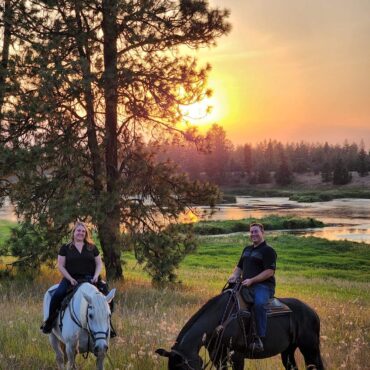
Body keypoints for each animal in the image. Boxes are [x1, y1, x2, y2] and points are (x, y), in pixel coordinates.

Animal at [156, 286, 324, 370]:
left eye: (183, 369)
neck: (221, 320)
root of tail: (313, 312)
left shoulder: (237, 357)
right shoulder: (218, 358)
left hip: (310, 349)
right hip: (288, 351)